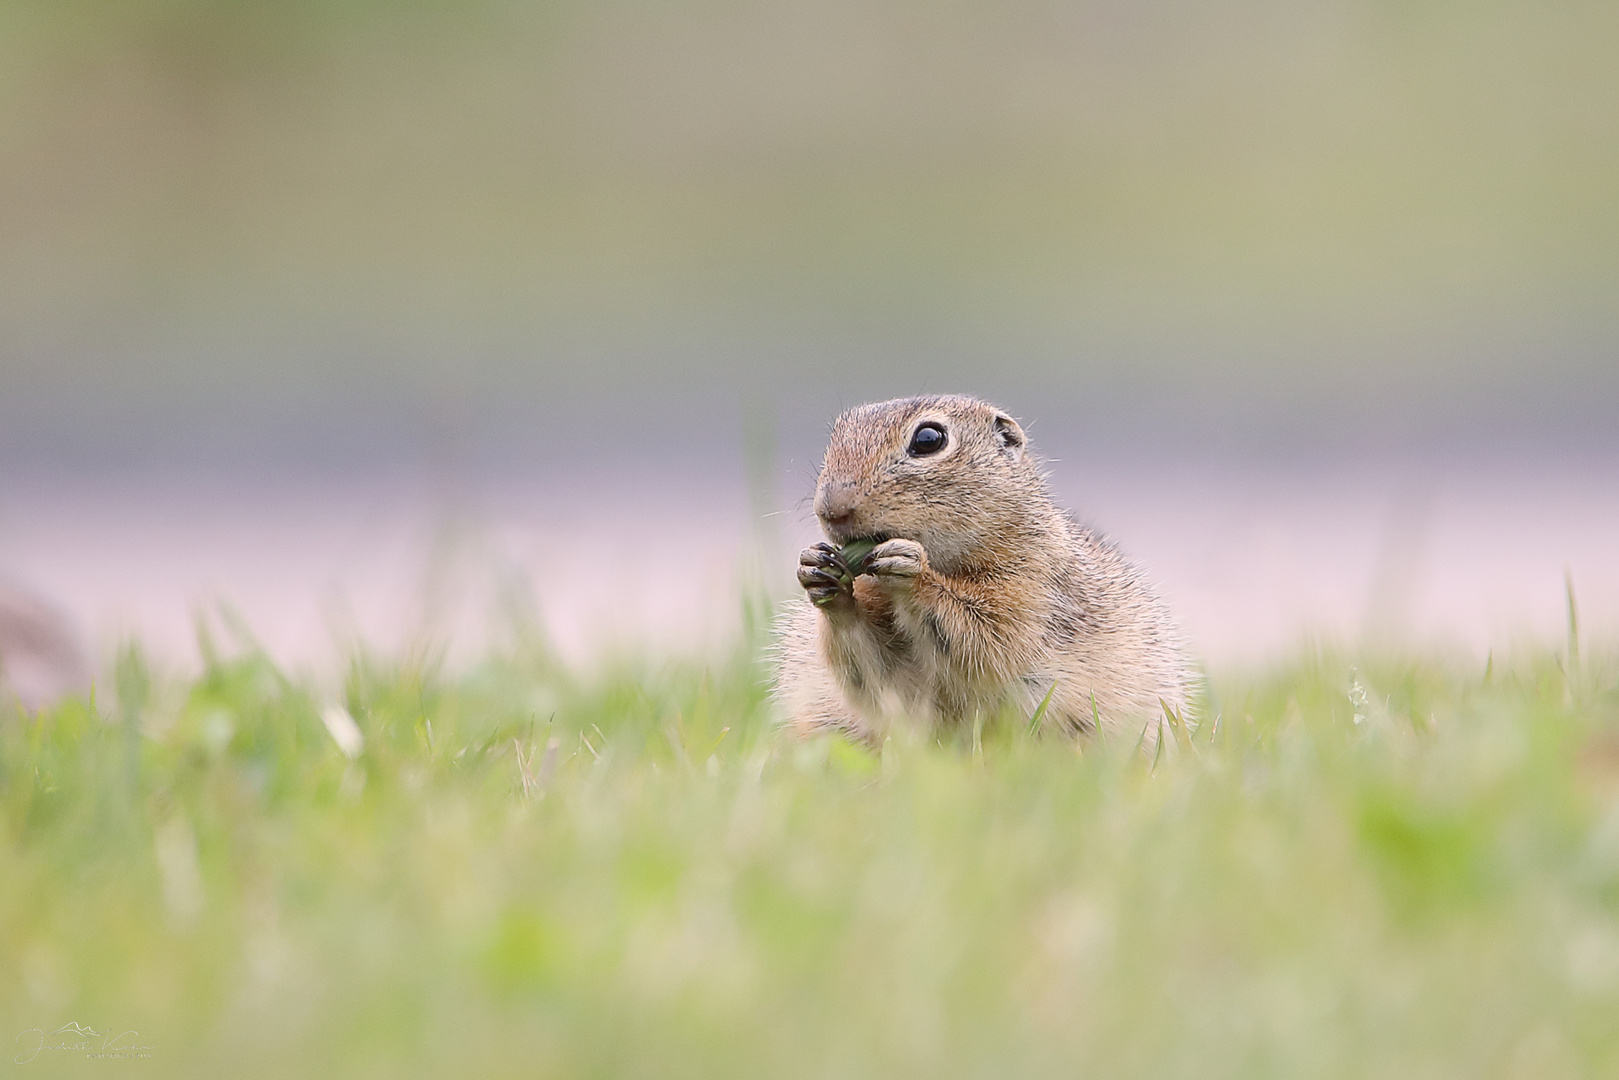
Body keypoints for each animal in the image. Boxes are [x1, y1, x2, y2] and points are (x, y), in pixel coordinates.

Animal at [777, 396, 1198, 744]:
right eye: (836, 434)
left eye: (928, 439)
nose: (831, 509)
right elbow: (874, 673)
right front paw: (819, 574)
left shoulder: (1033, 587)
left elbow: (987, 638)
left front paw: (913, 570)